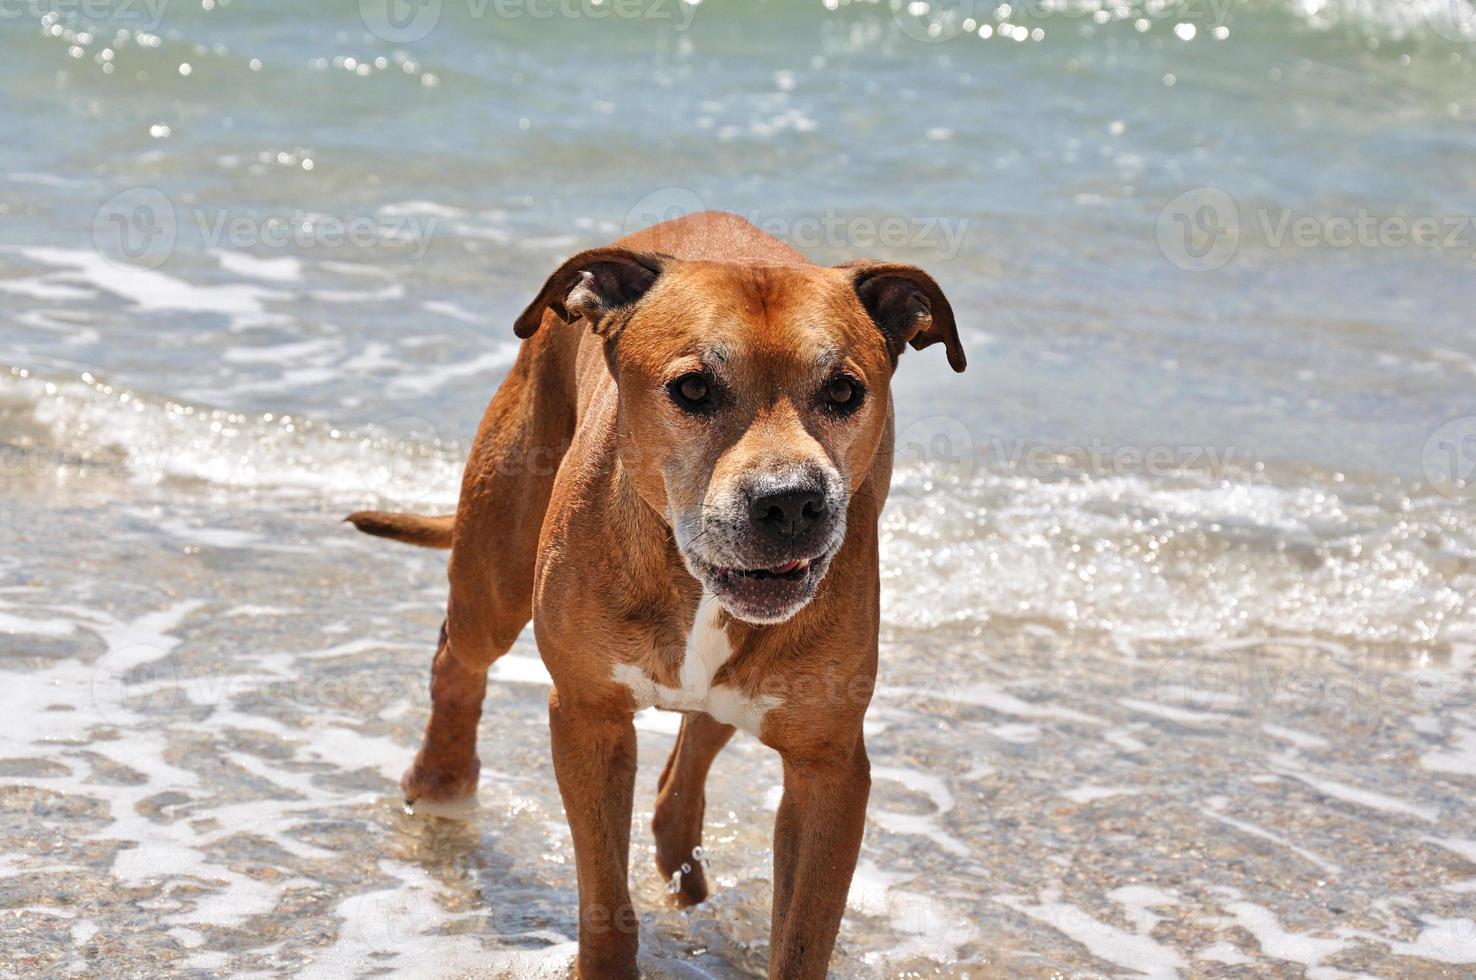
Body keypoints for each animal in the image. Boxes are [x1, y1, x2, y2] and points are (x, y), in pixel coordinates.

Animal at [349, 211, 962, 974]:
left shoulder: (829, 769)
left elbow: (802, 938)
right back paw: (441, 784)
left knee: (687, 764)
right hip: (496, 567)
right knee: (456, 658)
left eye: (845, 392)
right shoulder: (589, 714)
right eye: (693, 390)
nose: (791, 502)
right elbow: (603, 897)